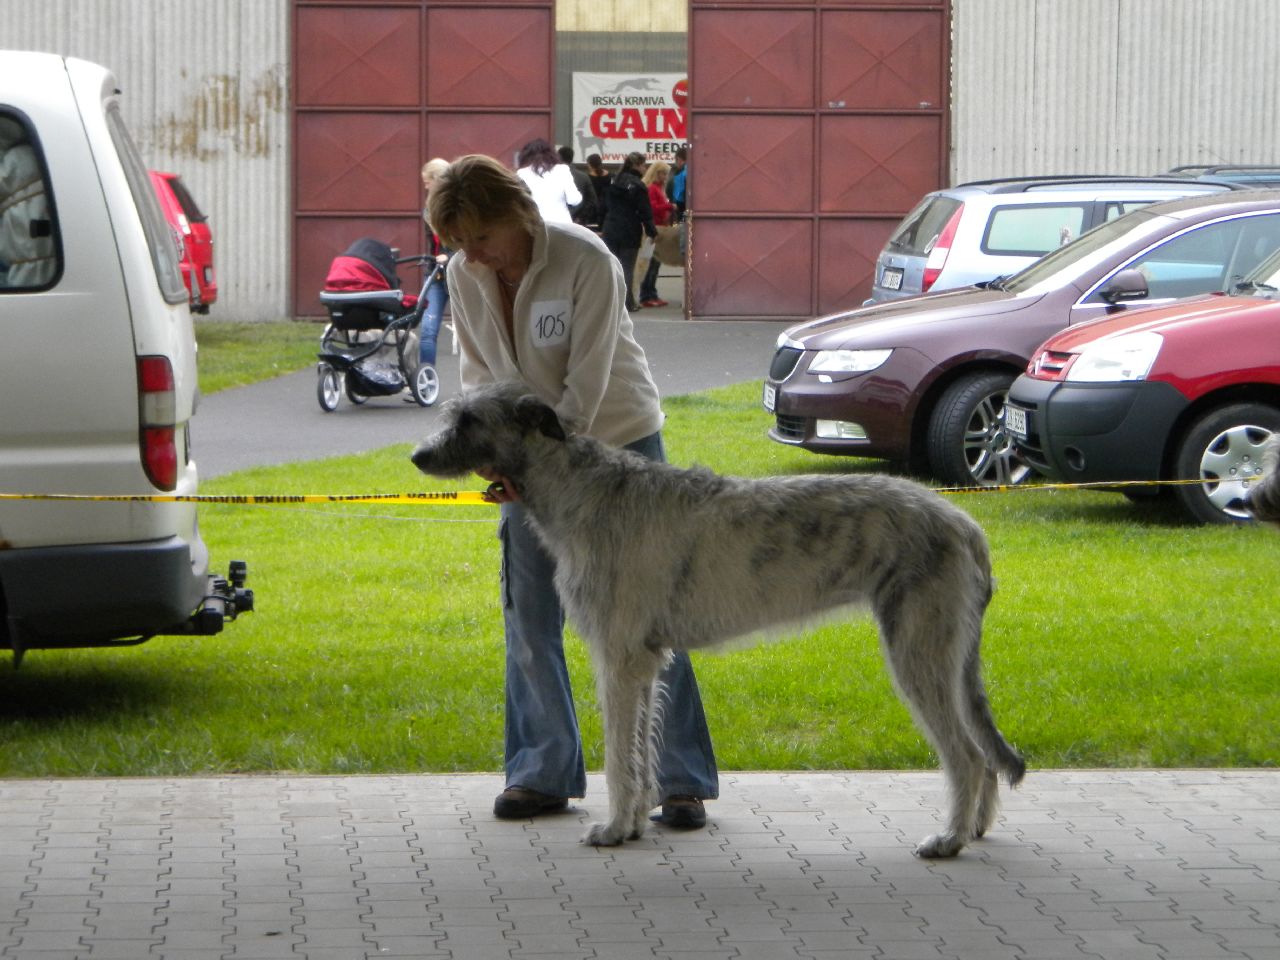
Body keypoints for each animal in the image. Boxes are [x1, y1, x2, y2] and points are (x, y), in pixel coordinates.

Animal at [414, 381, 1024, 855]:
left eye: (469, 419)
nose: (418, 456)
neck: (579, 489)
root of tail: (967, 525)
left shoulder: (618, 656)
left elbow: (617, 754)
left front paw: (611, 829)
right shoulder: (642, 661)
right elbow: (639, 751)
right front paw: (632, 824)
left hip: (918, 648)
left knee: (968, 756)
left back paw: (949, 839)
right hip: (947, 652)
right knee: (980, 750)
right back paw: (975, 827)